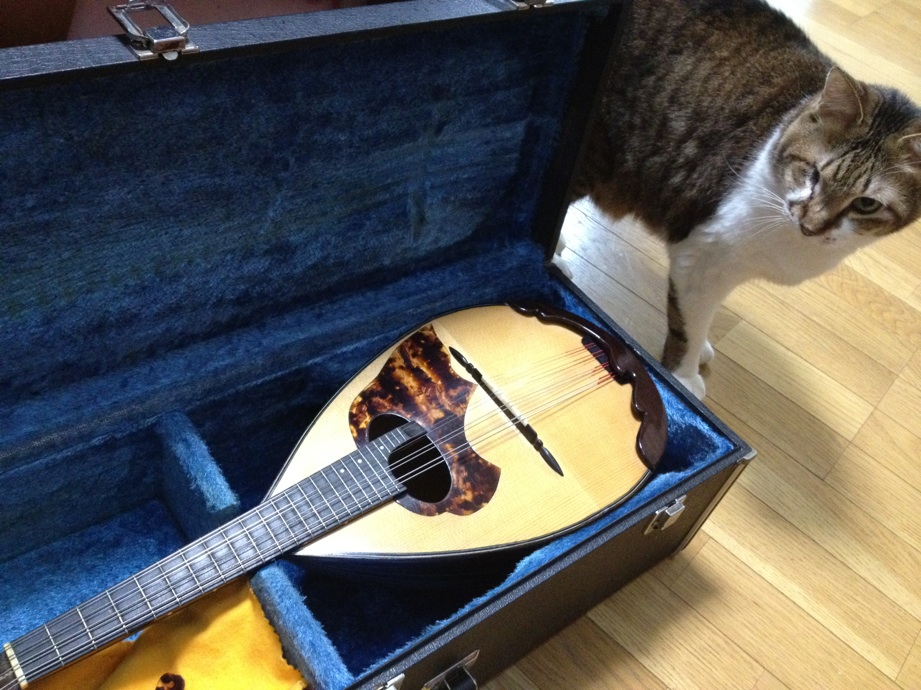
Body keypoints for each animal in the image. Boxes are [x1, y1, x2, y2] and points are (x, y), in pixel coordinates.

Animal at [570, 0, 921, 398]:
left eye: (866, 204)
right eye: (813, 173)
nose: (811, 224)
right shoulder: (702, 257)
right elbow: (689, 324)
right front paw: (683, 376)